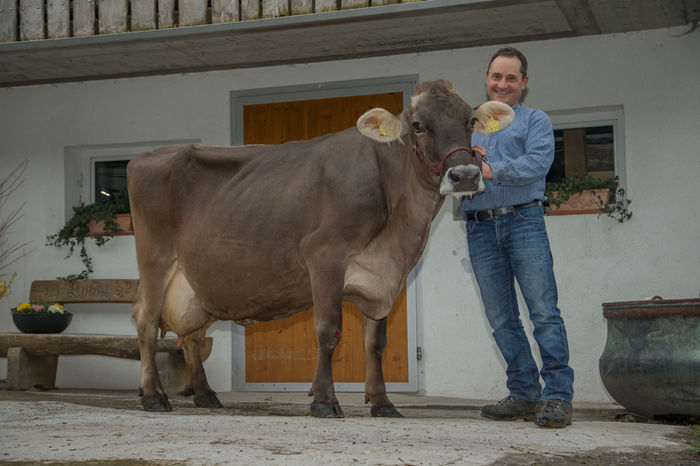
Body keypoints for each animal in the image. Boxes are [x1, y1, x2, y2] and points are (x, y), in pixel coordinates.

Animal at [127, 78, 508, 416]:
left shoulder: (384, 276)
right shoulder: (324, 256)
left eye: (471, 121)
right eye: (418, 125)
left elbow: (376, 344)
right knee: (146, 321)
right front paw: (324, 399)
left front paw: (383, 402)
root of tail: (147, 156)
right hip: (155, 259)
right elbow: (328, 332)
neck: (398, 233)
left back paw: (206, 394)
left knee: (191, 332)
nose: (466, 175)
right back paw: (153, 395)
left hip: (194, 281)